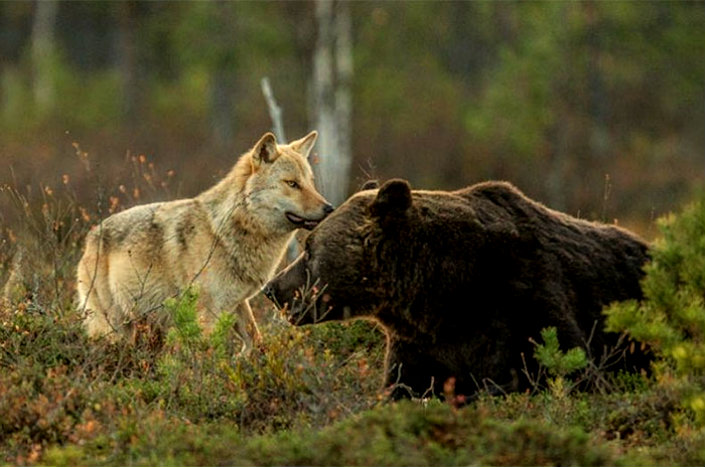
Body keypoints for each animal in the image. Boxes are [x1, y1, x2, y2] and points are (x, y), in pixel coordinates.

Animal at [76, 131, 333, 351]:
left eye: (310, 183)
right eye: (292, 184)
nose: (329, 208)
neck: (224, 233)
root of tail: (90, 237)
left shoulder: (238, 303)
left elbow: (256, 341)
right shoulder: (207, 313)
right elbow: (207, 354)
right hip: (113, 327)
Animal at [263, 179, 651, 399]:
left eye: (309, 249)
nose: (272, 288)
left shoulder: (525, 300)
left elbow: (574, 373)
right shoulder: (421, 346)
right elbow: (401, 389)